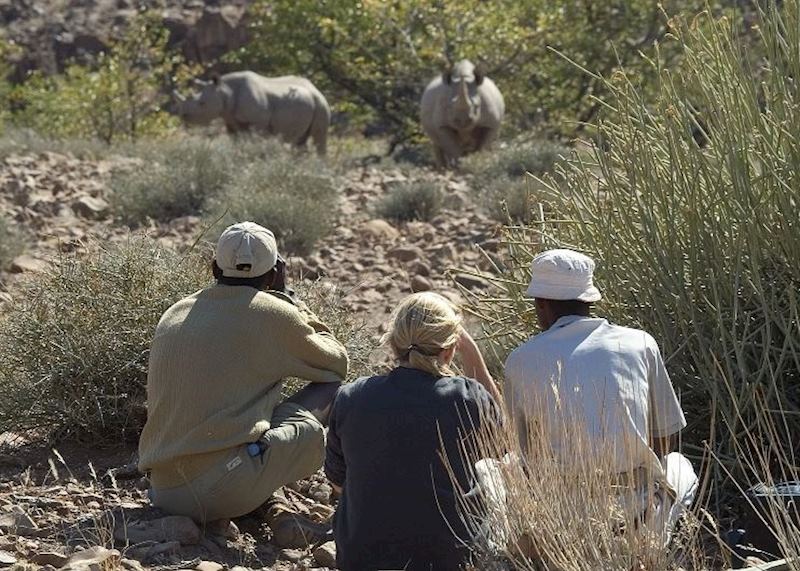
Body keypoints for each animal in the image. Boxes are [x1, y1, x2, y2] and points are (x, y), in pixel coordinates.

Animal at [174, 71, 330, 155]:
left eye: (202, 104)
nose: (183, 116)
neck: (225, 90)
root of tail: (315, 89)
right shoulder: (230, 119)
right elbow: (236, 141)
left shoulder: (258, 121)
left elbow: (255, 140)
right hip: (307, 103)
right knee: (300, 140)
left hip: (321, 104)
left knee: (319, 137)